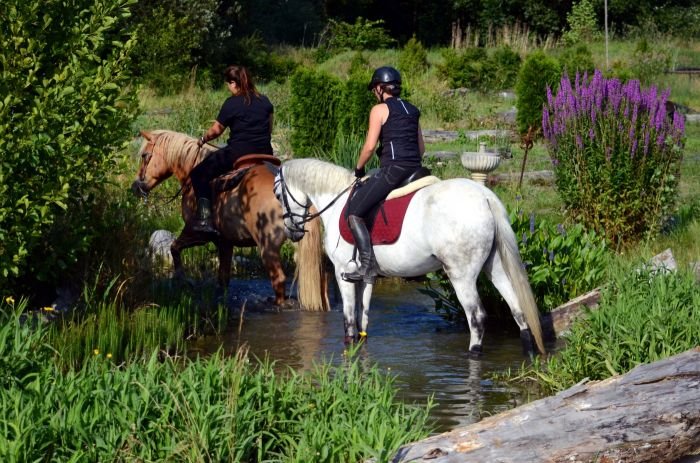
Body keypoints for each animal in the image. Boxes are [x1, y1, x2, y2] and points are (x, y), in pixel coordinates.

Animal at [130, 130, 327, 311]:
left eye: (144, 155)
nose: (135, 187)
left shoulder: (197, 233)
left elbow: (174, 248)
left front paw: (181, 278)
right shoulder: (225, 241)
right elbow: (223, 278)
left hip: (268, 248)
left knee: (278, 280)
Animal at [272, 158, 545, 356]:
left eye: (277, 194)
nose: (292, 232)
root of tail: (485, 196)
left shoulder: (342, 274)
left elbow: (349, 323)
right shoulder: (365, 276)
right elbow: (363, 319)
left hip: (461, 275)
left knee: (476, 317)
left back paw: (473, 357)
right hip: (495, 267)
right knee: (517, 308)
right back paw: (529, 353)